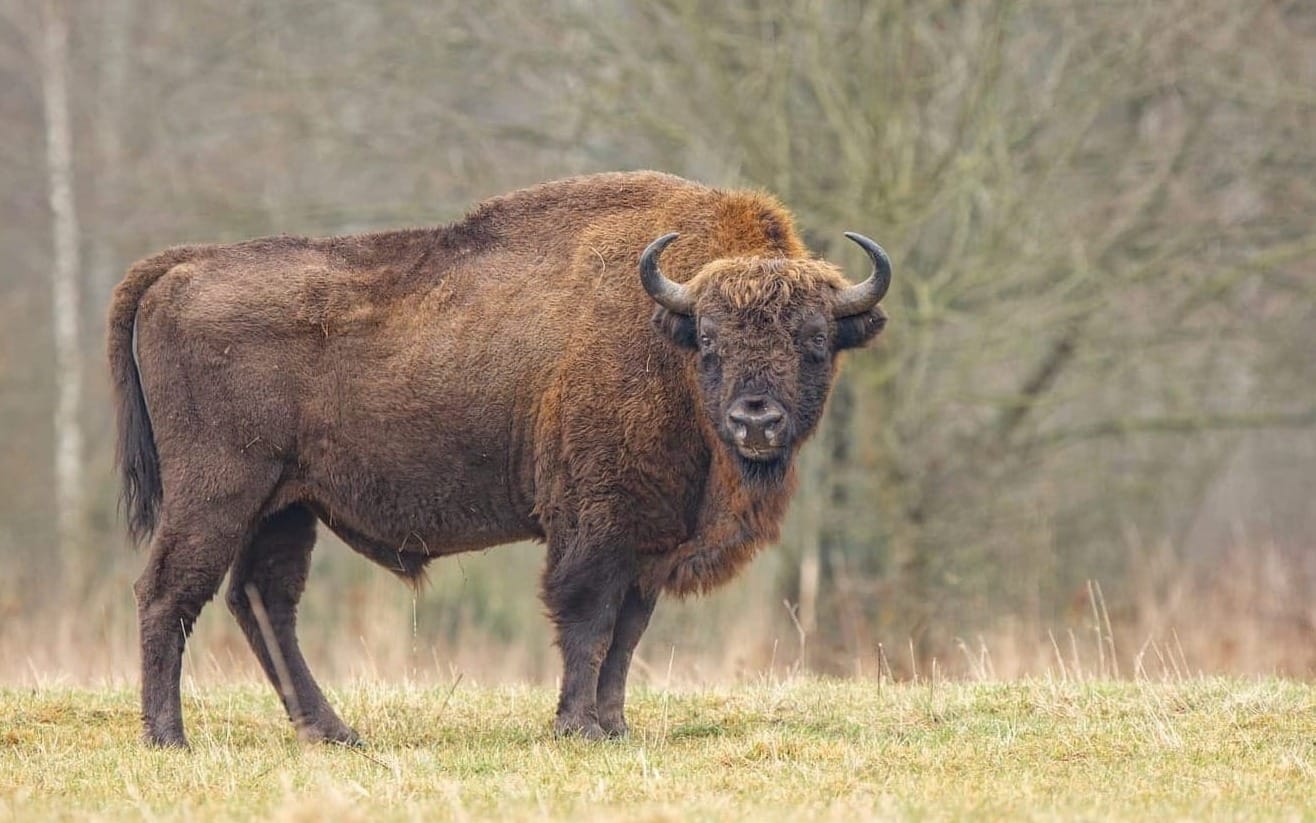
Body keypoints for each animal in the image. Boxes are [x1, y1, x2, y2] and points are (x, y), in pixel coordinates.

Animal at [108, 171, 891, 747]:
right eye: (711, 341)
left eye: (815, 341)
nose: (755, 418)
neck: (661, 328)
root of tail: (182, 266)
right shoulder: (596, 524)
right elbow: (588, 620)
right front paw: (578, 727)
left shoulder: (649, 537)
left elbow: (627, 631)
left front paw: (614, 725)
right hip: (217, 493)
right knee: (170, 592)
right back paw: (169, 737)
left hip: (286, 505)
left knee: (262, 600)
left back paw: (334, 732)